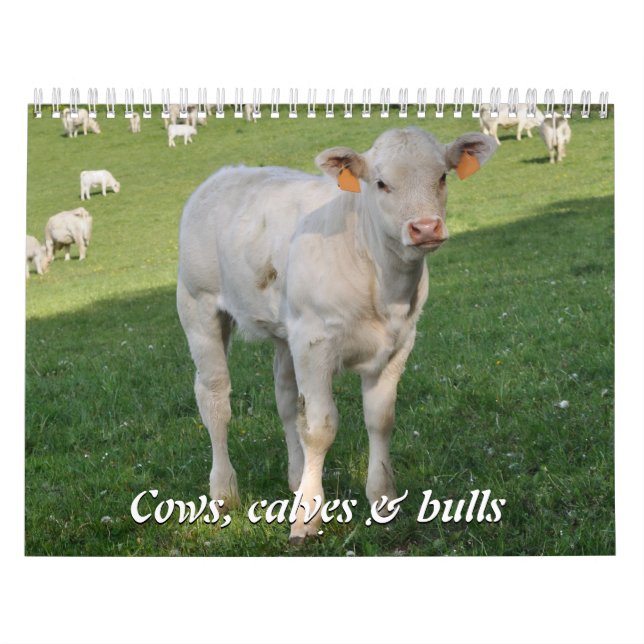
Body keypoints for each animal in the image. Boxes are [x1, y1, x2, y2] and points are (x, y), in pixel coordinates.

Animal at [177, 127, 497, 543]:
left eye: (442, 176)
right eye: (381, 183)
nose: (426, 227)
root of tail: (226, 173)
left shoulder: (397, 345)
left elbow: (379, 419)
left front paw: (382, 499)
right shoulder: (316, 344)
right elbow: (320, 428)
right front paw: (307, 518)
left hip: (287, 331)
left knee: (286, 400)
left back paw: (296, 477)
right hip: (198, 306)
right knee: (214, 399)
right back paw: (223, 491)